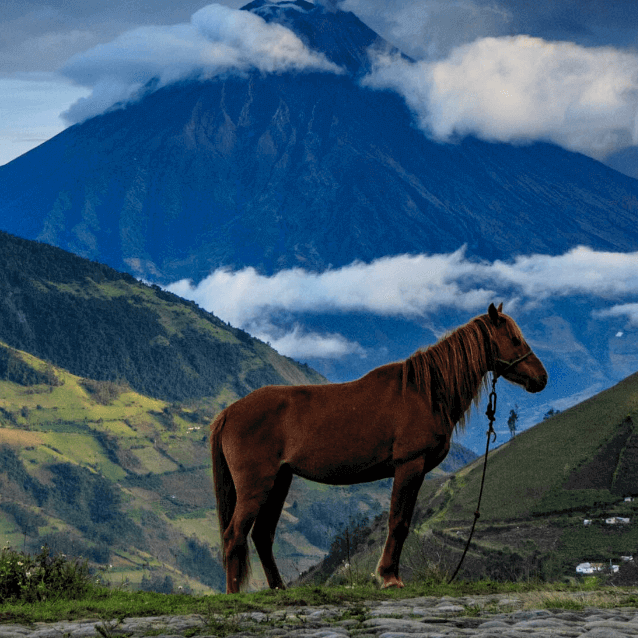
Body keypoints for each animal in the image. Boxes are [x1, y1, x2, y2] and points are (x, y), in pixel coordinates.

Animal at [212, 304, 548, 596]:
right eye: (514, 339)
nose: (541, 378)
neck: (425, 391)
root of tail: (229, 412)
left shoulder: (416, 471)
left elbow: (404, 523)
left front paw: (391, 575)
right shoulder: (409, 466)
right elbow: (397, 523)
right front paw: (389, 577)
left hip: (279, 482)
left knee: (262, 535)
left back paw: (278, 588)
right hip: (256, 485)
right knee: (234, 534)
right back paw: (233, 593)